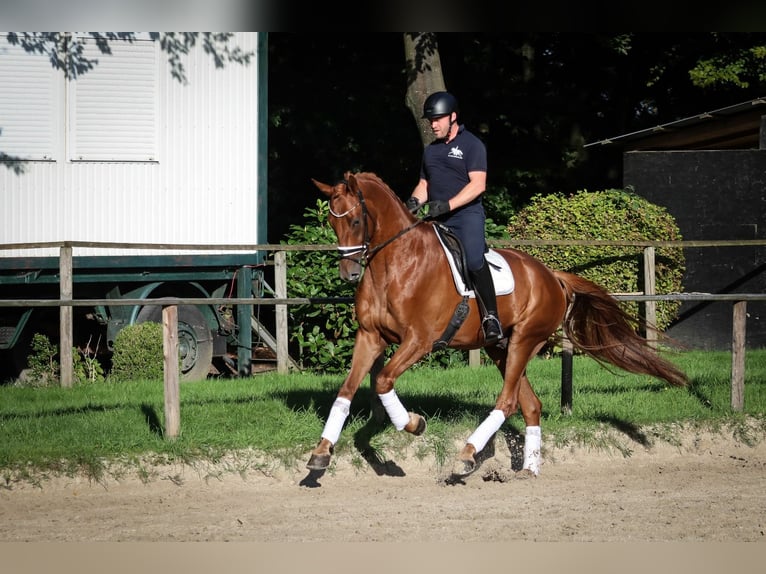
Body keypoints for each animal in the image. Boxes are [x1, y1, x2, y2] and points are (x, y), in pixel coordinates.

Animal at [308, 173, 688, 480]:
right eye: (331, 221)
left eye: (356, 219)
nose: (349, 274)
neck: (394, 264)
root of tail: (552, 276)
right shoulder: (370, 337)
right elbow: (346, 390)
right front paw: (321, 453)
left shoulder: (419, 340)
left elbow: (384, 379)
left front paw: (413, 424)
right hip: (500, 347)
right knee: (530, 405)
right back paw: (529, 468)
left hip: (524, 340)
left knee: (507, 402)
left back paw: (468, 455)